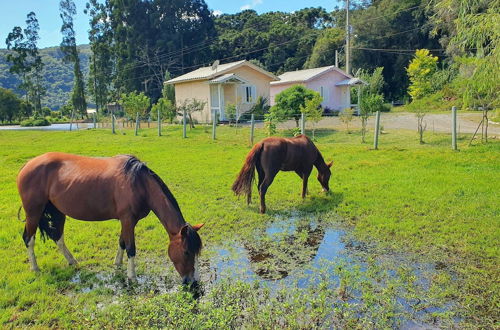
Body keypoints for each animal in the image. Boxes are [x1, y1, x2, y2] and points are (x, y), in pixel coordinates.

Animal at [17, 152, 204, 284]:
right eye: (186, 252)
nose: (193, 282)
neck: (138, 182)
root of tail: (27, 165)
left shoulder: (127, 221)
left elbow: (122, 242)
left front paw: (117, 264)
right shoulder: (128, 219)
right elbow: (130, 248)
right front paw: (132, 276)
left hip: (57, 212)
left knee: (58, 237)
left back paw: (72, 262)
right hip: (33, 212)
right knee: (29, 239)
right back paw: (35, 268)